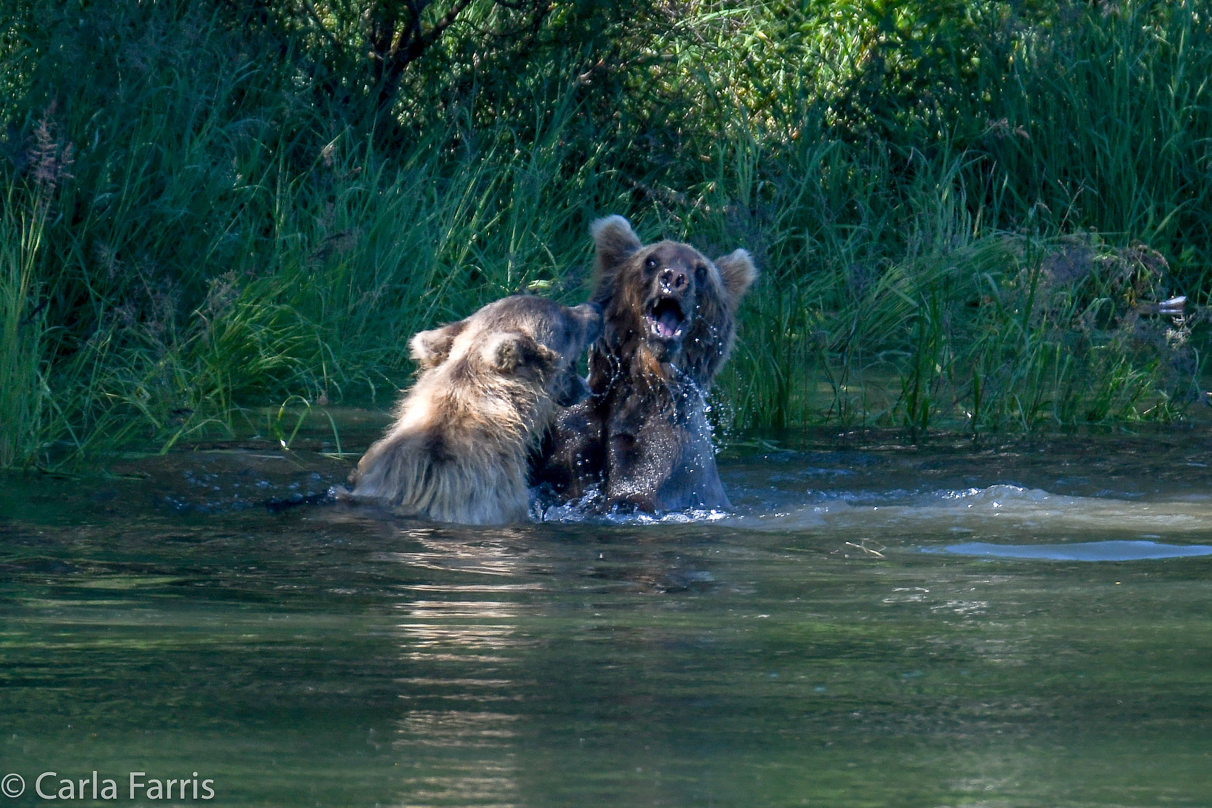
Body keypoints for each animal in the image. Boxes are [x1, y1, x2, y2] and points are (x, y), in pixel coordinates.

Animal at [533, 211, 751, 508]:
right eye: (651, 260)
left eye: (701, 271)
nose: (674, 278)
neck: (642, 376)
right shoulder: (572, 429)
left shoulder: (670, 448)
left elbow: (637, 490)